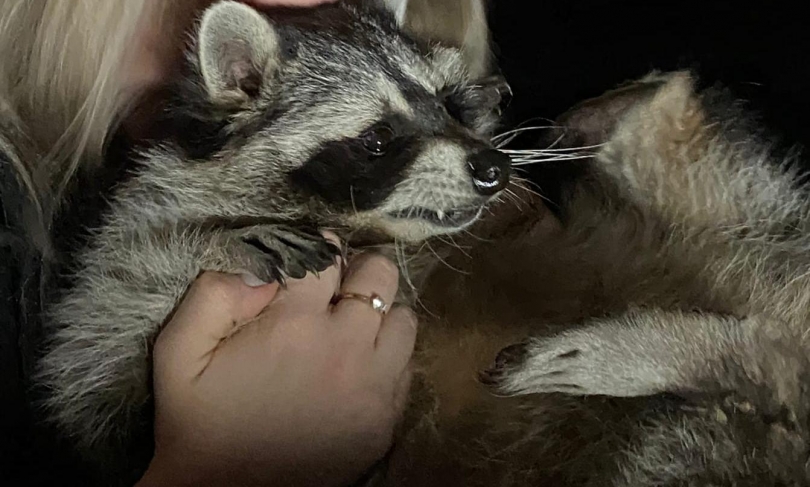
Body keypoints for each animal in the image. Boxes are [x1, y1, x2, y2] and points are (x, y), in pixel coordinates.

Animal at [35, 0, 511, 480]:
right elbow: (111, 294)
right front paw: (204, 246)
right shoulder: (140, 227)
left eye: (447, 104)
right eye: (379, 137)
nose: (493, 169)